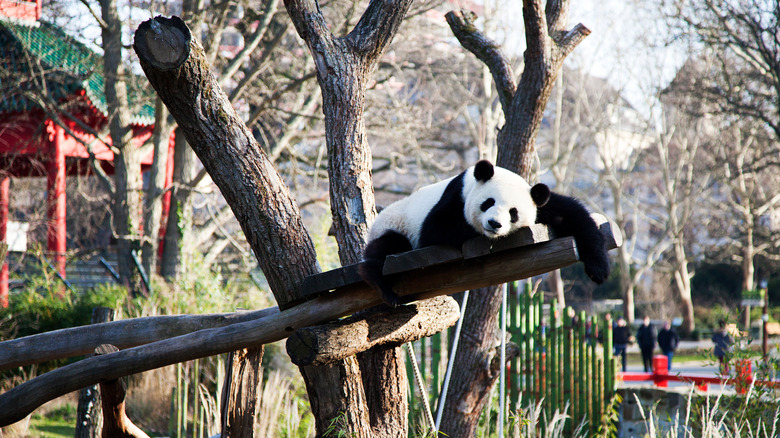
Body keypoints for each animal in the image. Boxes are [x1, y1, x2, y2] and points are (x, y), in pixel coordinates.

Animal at [360, 159, 608, 306]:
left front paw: (598, 269)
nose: (494, 223)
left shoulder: (539, 202)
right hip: (393, 225)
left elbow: (571, 214)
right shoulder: (455, 196)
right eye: (489, 202)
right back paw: (386, 290)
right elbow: (435, 229)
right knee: (385, 250)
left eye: (513, 212)